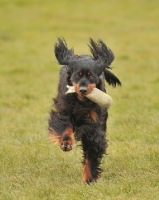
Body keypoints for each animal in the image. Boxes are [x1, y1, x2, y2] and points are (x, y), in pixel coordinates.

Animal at [48, 38, 120, 184]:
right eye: (77, 75)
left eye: (91, 76)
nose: (83, 89)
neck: (81, 101)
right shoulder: (64, 111)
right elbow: (64, 126)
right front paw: (66, 142)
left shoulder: (94, 123)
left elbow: (93, 148)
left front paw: (89, 178)